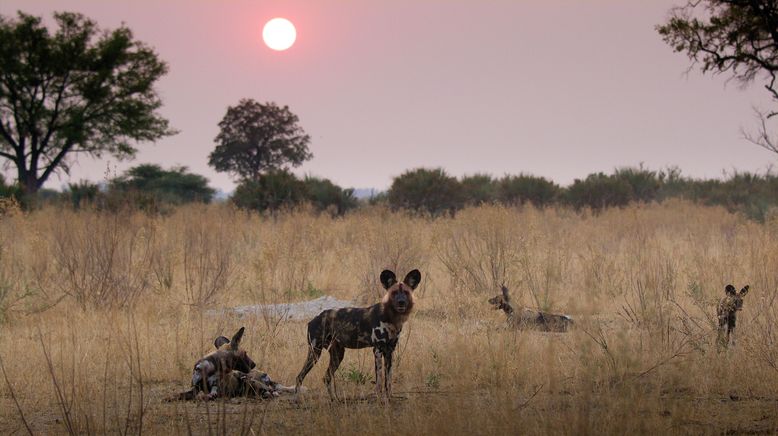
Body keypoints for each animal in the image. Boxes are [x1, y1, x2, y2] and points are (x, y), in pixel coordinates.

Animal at [296, 270, 418, 402]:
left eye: (406, 292)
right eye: (394, 293)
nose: (401, 302)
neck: (392, 318)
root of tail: (314, 319)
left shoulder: (389, 351)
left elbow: (388, 381)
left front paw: (388, 399)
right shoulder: (378, 350)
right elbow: (379, 381)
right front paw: (379, 400)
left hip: (337, 355)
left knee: (326, 377)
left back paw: (334, 400)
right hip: (315, 353)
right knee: (299, 377)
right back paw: (297, 401)